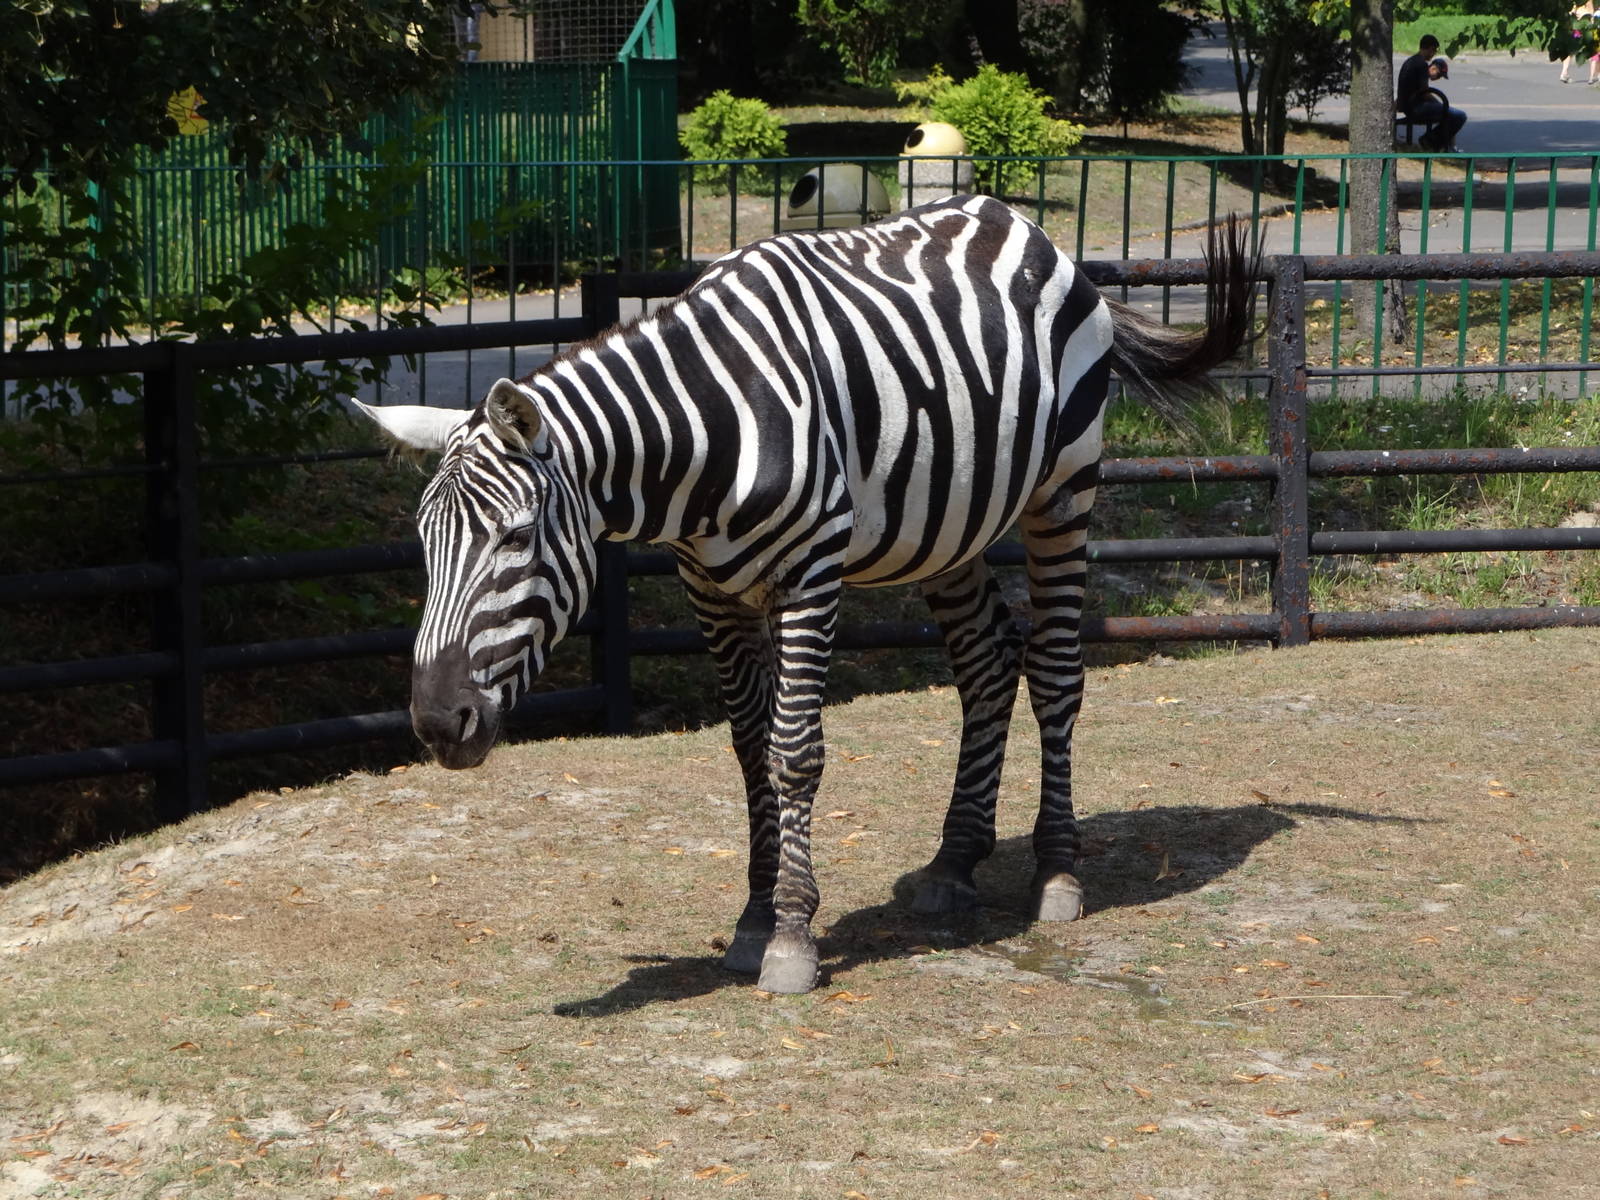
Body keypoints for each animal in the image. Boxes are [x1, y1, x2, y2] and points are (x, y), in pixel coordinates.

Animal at [357, 194, 1252, 995]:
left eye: (512, 539)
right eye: (426, 549)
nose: (436, 723)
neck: (704, 434)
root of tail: (1020, 222)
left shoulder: (810, 574)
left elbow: (794, 752)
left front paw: (791, 937)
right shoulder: (708, 590)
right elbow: (750, 748)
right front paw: (754, 920)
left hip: (1063, 489)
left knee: (1057, 673)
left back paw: (1058, 875)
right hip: (947, 527)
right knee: (987, 664)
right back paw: (954, 861)